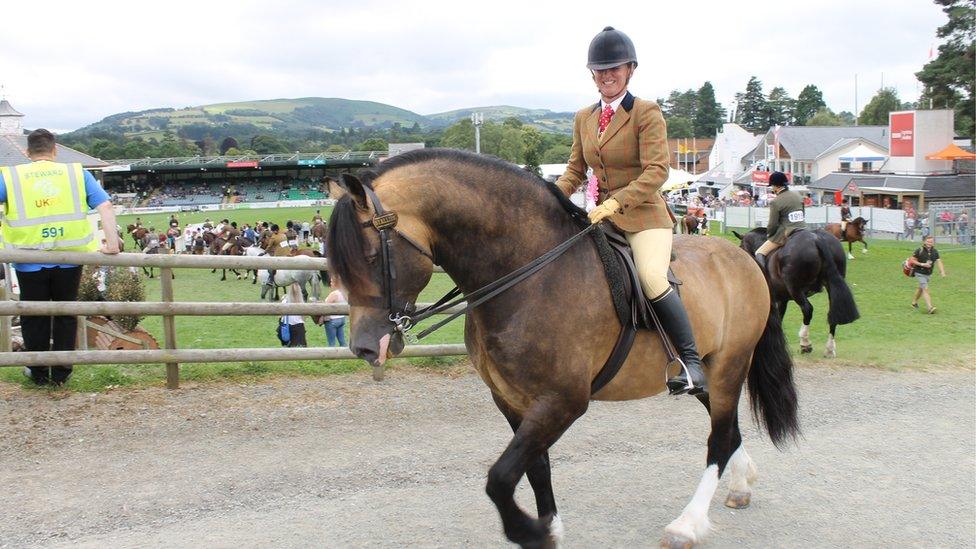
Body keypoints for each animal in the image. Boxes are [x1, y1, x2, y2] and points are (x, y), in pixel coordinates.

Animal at [328, 148, 800, 544]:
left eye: (371, 256)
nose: (365, 348)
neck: (529, 274)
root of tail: (743, 257)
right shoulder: (512, 399)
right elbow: (534, 467)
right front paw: (550, 529)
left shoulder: (563, 401)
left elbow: (500, 478)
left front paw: (528, 531)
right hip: (706, 376)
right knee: (729, 429)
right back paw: (740, 485)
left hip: (729, 366)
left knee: (719, 438)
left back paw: (687, 524)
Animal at [736, 226, 856, 358]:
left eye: (741, 247)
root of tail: (817, 238)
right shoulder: (782, 299)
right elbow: (780, 317)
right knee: (833, 313)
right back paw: (829, 349)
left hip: (795, 288)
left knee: (807, 309)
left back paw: (805, 344)